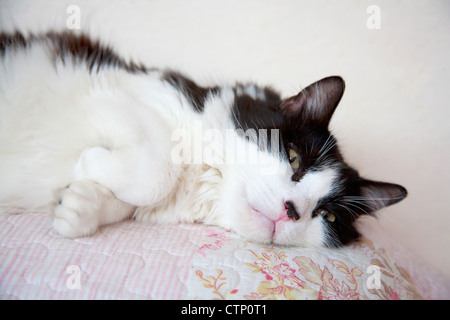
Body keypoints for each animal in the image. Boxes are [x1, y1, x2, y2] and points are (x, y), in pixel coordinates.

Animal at [0, 31, 408, 248]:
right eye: (293, 158)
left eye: (326, 215)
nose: (292, 210)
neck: (200, 175)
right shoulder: (110, 87)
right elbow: (157, 172)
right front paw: (87, 162)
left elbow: (134, 199)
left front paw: (76, 202)